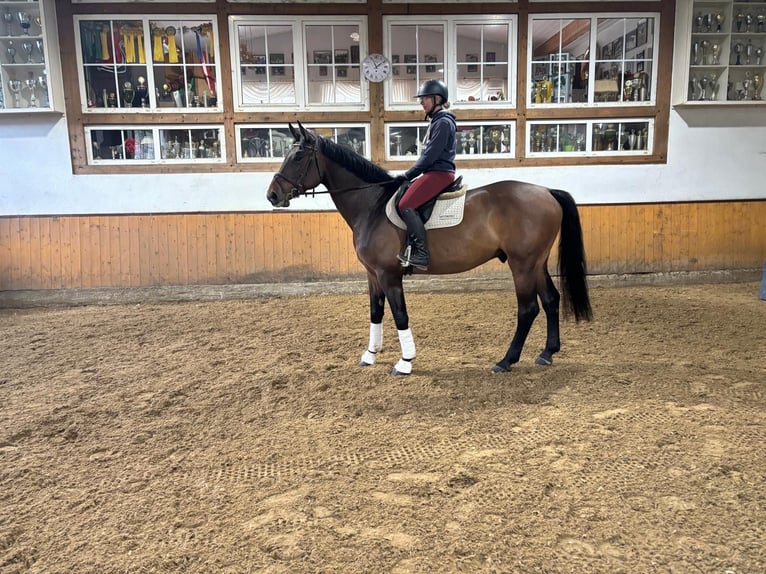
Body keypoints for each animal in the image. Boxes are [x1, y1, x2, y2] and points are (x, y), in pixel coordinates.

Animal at [267, 122, 592, 375]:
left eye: (298, 156)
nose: (272, 195)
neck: (371, 206)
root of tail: (546, 191)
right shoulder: (372, 275)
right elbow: (375, 312)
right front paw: (370, 356)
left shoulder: (389, 275)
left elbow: (400, 315)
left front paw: (405, 362)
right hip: (536, 262)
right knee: (550, 300)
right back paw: (547, 353)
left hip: (522, 264)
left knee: (528, 309)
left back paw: (506, 361)